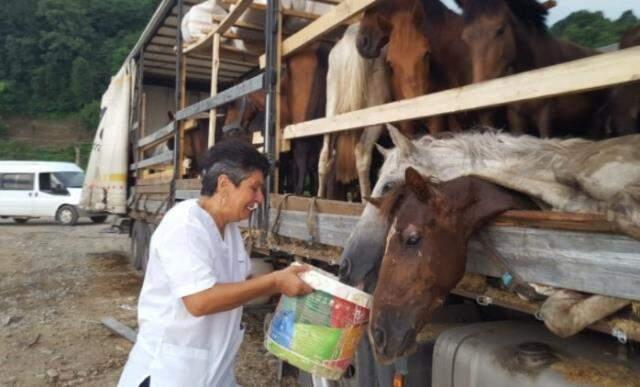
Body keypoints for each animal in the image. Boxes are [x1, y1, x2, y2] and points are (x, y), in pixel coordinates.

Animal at [458, 0, 608, 139]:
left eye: (500, 30)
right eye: (465, 38)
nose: (482, 102)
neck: (529, 83)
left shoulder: (545, 117)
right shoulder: (516, 118)